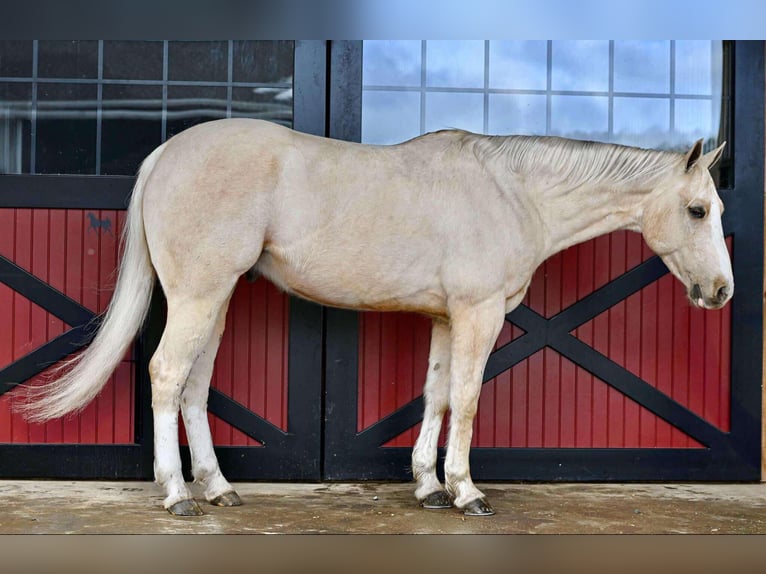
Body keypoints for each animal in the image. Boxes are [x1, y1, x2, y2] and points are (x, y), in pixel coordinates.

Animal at [24, 119, 732, 520]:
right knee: (168, 376)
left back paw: (219, 489)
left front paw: (427, 487)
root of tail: (166, 153)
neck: (512, 192)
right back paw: (177, 496)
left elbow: (437, 394)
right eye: (698, 210)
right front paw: (466, 493)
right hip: (198, 296)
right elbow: (467, 399)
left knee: (194, 387)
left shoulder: (448, 318)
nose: (721, 292)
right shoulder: (477, 315)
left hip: (216, 301)